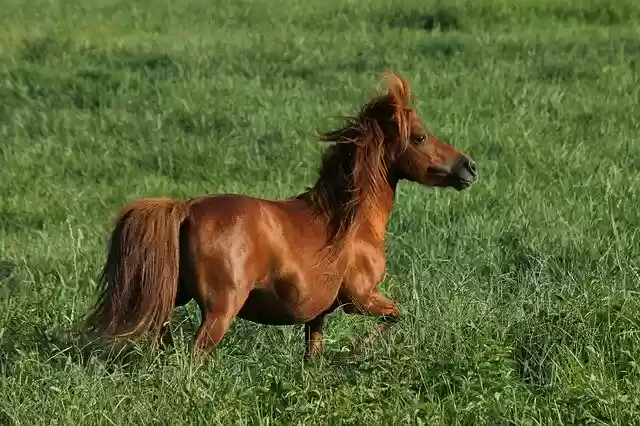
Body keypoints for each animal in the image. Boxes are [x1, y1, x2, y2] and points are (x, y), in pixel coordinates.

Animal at [85, 72, 478, 360]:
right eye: (420, 136)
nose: (469, 167)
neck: (349, 223)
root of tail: (187, 209)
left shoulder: (318, 315)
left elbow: (314, 355)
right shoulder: (361, 298)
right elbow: (397, 316)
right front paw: (358, 349)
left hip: (173, 299)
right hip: (220, 310)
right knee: (194, 357)